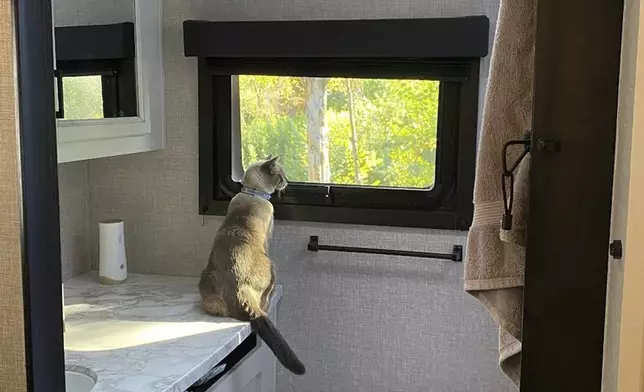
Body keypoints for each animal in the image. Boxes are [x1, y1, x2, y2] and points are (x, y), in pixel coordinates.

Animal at [197, 157, 306, 376]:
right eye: (281, 175)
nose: (288, 182)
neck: (252, 192)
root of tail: (240, 288)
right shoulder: (268, 238)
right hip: (272, 266)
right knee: (264, 302)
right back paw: (267, 304)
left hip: (208, 287)